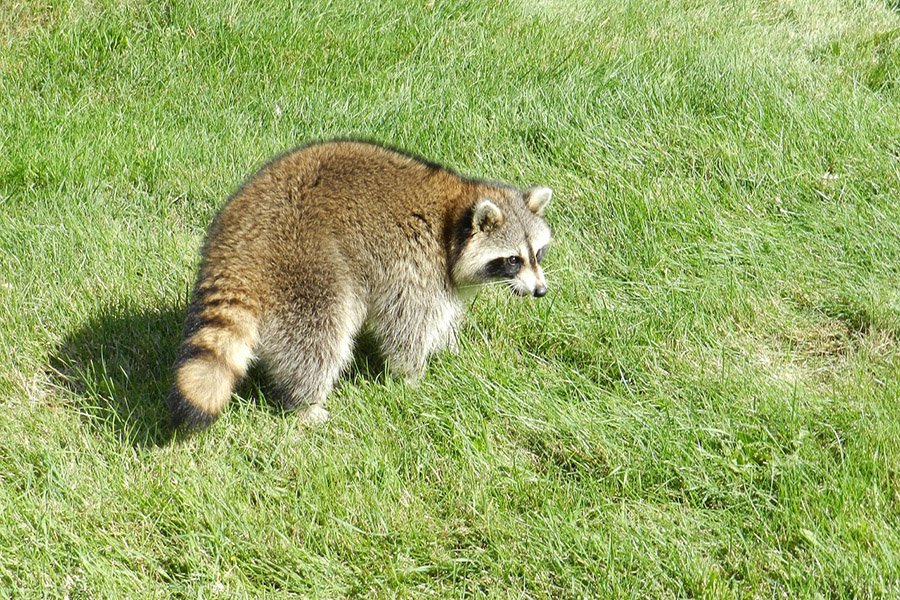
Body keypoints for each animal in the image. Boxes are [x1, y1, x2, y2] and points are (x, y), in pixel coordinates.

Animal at [165, 141, 552, 428]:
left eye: (538, 253)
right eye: (512, 260)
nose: (541, 291)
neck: (452, 217)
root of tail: (237, 242)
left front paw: (448, 347)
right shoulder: (413, 262)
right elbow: (408, 323)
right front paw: (412, 376)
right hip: (305, 263)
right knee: (320, 335)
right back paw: (306, 402)